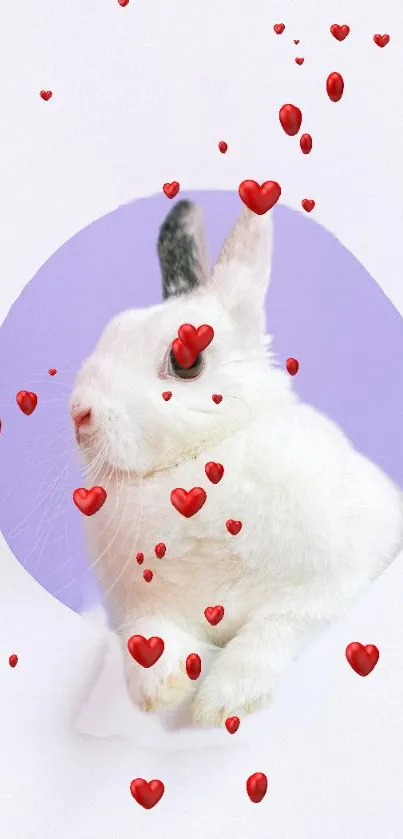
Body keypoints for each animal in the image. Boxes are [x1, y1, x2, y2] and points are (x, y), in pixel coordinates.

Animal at [71, 200, 403, 724]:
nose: (79, 414)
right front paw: (161, 690)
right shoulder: (141, 610)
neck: (198, 461)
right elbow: (151, 637)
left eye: (186, 359)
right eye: (112, 331)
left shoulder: (324, 589)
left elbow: (271, 633)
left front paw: (222, 700)